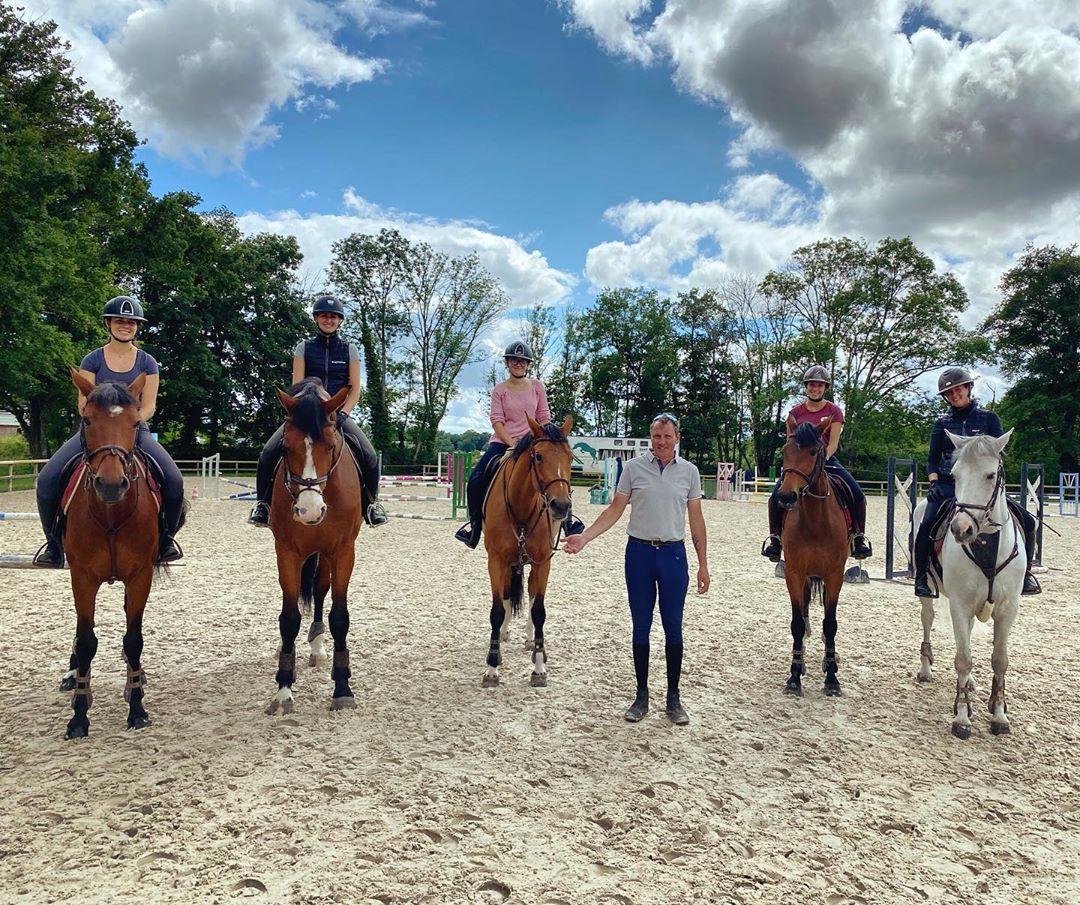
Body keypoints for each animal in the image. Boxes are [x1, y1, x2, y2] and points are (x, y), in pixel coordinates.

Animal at [65, 367, 181, 738]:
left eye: (134, 423)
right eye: (87, 419)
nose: (112, 485)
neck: (112, 515)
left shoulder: (139, 575)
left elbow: (134, 640)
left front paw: (137, 709)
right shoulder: (82, 577)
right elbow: (86, 641)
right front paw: (79, 716)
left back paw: (135, 680)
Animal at [264, 377, 358, 717]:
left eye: (330, 446)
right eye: (285, 448)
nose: (309, 511)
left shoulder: (343, 551)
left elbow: (339, 617)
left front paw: (342, 688)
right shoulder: (286, 552)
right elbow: (289, 618)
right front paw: (283, 689)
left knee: (319, 591)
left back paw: (318, 646)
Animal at [481, 416, 574, 686]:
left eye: (570, 457)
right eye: (538, 457)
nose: (561, 506)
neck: (521, 507)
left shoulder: (543, 563)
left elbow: (539, 610)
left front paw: (539, 667)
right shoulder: (496, 561)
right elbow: (497, 610)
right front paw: (492, 667)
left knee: (532, 597)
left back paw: (532, 642)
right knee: (506, 596)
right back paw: (502, 637)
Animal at [777, 421, 851, 699]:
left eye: (812, 452)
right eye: (785, 451)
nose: (786, 496)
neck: (816, 522)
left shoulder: (835, 576)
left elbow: (830, 625)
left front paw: (832, 679)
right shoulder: (794, 574)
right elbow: (798, 623)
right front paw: (794, 677)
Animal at [915, 429, 1023, 738]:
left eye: (990, 475)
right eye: (955, 475)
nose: (961, 529)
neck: (986, 544)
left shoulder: (1008, 608)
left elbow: (1000, 660)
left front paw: (999, 714)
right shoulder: (960, 605)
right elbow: (963, 657)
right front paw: (962, 717)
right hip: (927, 590)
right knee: (928, 618)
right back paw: (925, 669)